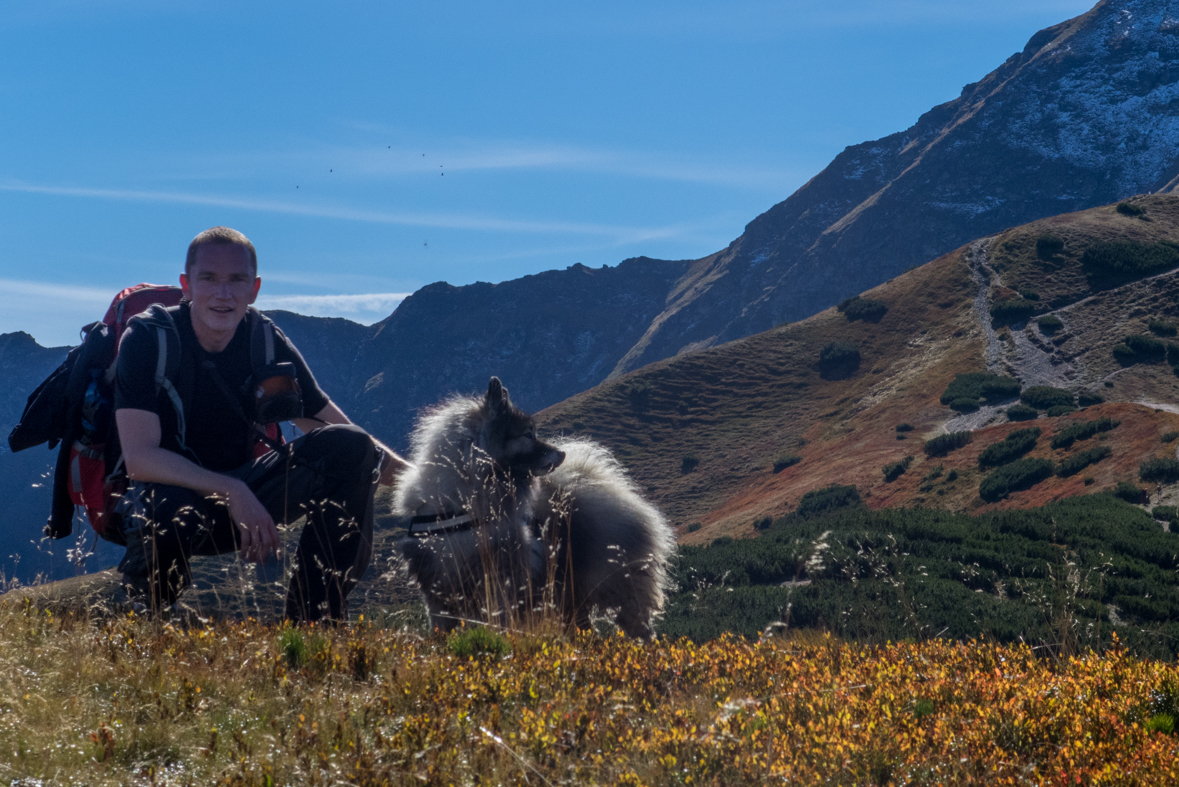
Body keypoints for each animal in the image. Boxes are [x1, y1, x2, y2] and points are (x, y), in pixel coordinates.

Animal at [393, 377, 679, 640]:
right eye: (527, 434)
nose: (562, 454)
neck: (459, 508)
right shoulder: (438, 595)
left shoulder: (500, 589)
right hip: (570, 599)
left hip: (619, 590)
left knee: (640, 630)